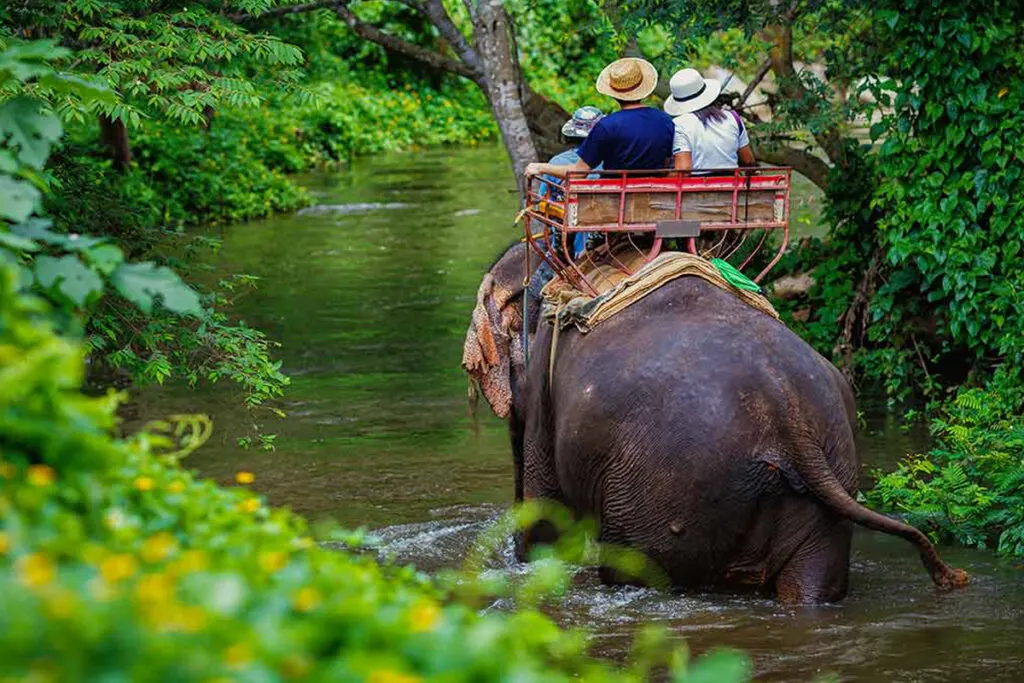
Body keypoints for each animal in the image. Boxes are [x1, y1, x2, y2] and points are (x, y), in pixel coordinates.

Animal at [463, 243, 968, 604]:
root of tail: (788, 416)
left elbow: (548, 512)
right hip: (833, 471)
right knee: (811, 587)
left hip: (658, 492)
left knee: (634, 570)